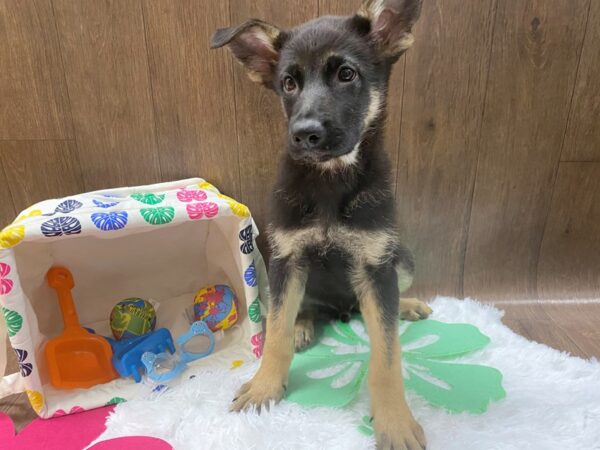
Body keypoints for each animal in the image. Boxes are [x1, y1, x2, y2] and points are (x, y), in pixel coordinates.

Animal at [211, 1, 432, 448]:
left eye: (346, 74)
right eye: (288, 83)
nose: (304, 134)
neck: (331, 179)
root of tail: (343, 310)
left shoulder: (376, 266)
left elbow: (387, 356)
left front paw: (395, 421)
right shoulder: (287, 259)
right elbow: (275, 334)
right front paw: (265, 387)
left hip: (402, 258)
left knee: (387, 306)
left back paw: (408, 305)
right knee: (299, 311)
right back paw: (303, 325)